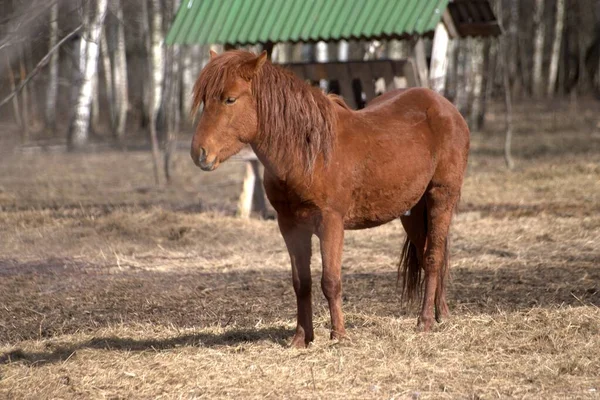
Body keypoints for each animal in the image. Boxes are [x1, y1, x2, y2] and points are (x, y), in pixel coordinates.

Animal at [190, 50, 472, 346]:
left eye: (230, 99)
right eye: (205, 100)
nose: (199, 153)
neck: (307, 152)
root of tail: (447, 108)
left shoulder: (331, 223)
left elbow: (330, 281)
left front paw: (339, 335)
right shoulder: (290, 226)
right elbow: (301, 283)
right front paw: (301, 338)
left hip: (441, 196)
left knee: (433, 257)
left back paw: (425, 321)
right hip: (413, 211)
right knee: (428, 251)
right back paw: (442, 314)